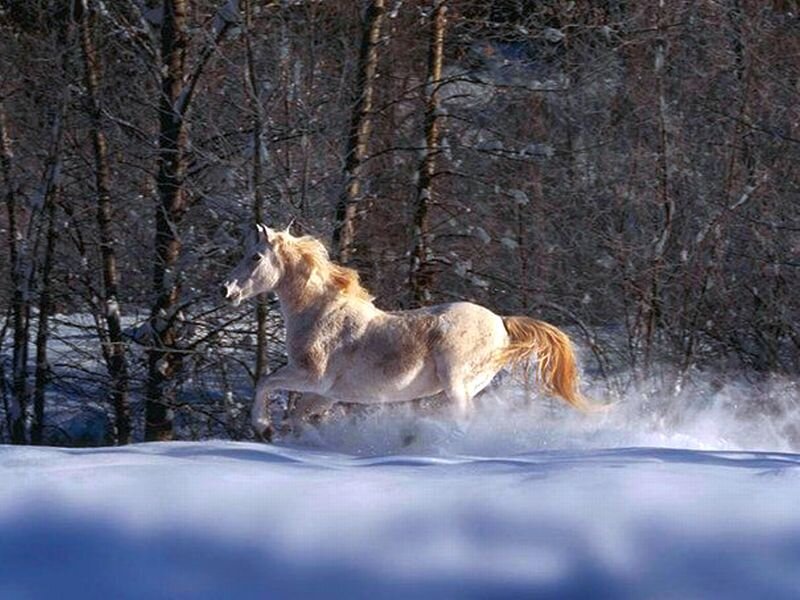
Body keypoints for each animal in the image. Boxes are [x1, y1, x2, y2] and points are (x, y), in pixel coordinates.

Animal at [222, 224, 589, 440]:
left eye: (255, 256)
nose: (227, 290)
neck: (320, 313)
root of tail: (500, 321)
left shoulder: (311, 377)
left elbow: (266, 383)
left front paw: (263, 426)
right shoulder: (326, 394)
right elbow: (299, 416)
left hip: (455, 381)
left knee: (463, 418)